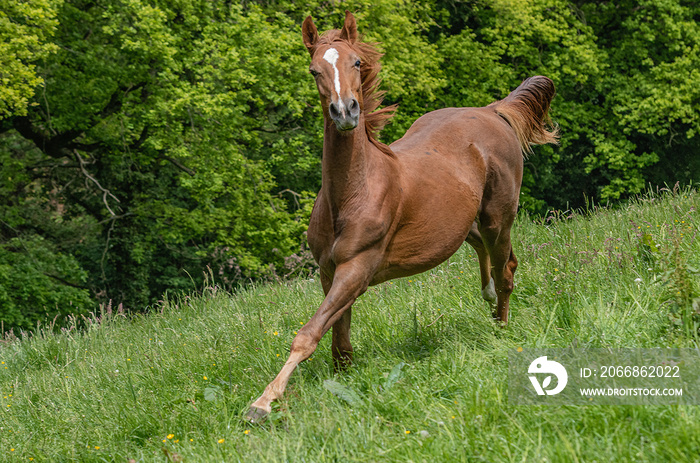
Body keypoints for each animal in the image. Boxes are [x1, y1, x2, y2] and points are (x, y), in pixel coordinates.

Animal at [246, 10, 556, 424]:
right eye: (314, 70)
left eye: (356, 62)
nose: (345, 112)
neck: (352, 194)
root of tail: (491, 111)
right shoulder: (329, 272)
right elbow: (339, 340)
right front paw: (340, 383)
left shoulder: (357, 268)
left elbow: (309, 334)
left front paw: (263, 402)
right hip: (461, 223)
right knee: (488, 254)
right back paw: (488, 296)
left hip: (497, 218)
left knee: (506, 267)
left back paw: (501, 328)